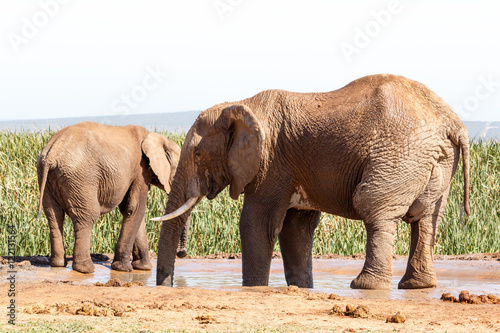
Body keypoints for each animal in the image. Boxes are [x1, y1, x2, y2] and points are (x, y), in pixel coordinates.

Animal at [36, 122, 184, 272]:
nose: (182, 253)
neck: (159, 138)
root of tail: (52, 152)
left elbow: (130, 210)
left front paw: (143, 268)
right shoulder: (141, 170)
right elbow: (135, 208)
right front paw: (123, 269)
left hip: (46, 175)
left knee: (54, 214)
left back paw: (58, 263)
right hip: (80, 179)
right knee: (87, 215)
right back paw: (86, 269)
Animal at [153, 74, 468, 288]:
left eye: (197, 153)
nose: (168, 285)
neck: (239, 104)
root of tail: (453, 123)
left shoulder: (272, 162)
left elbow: (257, 223)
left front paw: (254, 288)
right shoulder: (291, 165)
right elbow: (295, 228)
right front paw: (301, 288)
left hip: (399, 154)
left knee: (375, 207)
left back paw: (365, 285)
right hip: (436, 159)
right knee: (425, 217)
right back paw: (417, 286)